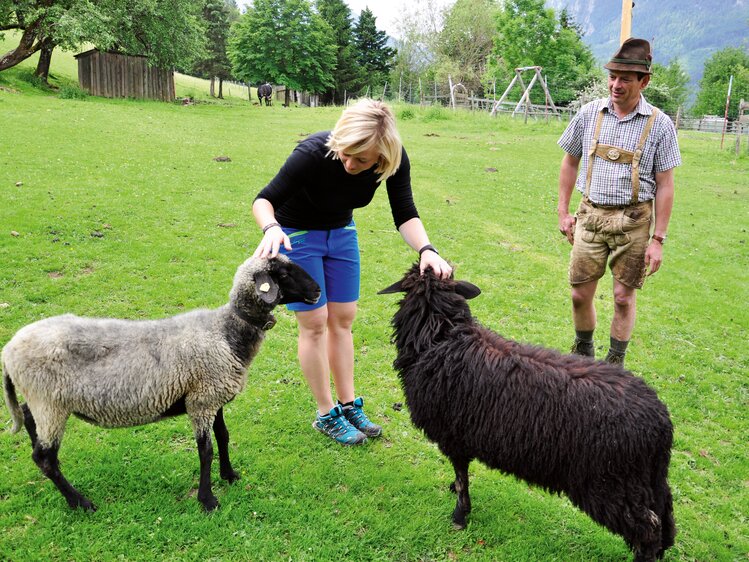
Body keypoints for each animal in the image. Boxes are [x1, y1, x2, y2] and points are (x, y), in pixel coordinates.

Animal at [2, 256, 318, 510]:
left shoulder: (213, 397)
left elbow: (223, 436)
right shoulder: (201, 401)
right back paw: (80, 502)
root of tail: (8, 351)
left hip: (42, 401)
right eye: (284, 273)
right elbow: (206, 451)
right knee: (44, 458)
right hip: (51, 404)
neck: (225, 332)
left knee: (30, 422)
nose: (316, 291)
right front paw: (208, 500)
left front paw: (229, 475)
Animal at [376, 264, 676, 560]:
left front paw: (460, 516)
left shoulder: (453, 437)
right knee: (665, 513)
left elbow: (462, 479)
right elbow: (460, 477)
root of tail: (660, 421)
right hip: (646, 480)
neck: (442, 336)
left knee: (648, 527)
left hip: (608, 484)